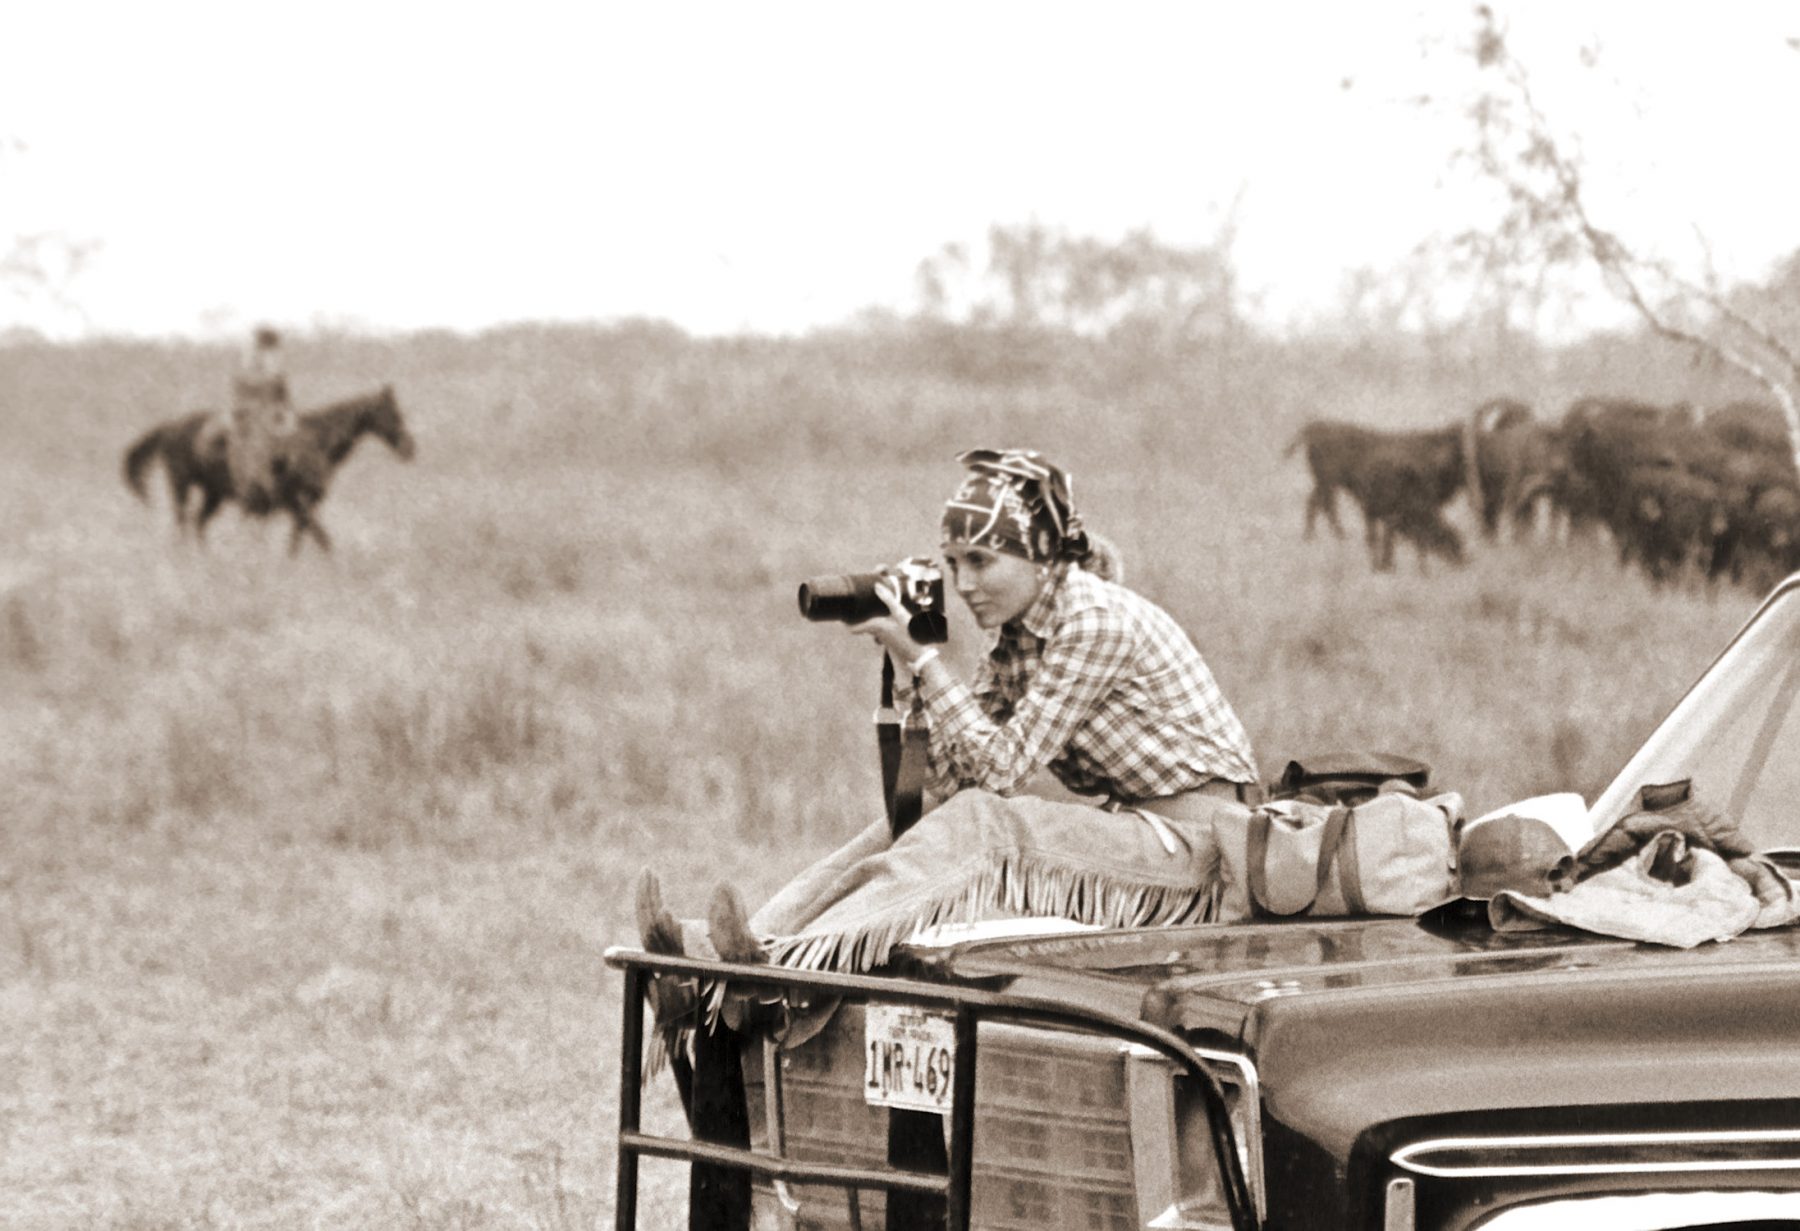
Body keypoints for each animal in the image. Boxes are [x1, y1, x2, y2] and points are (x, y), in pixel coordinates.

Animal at [123, 386, 417, 554]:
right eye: (394, 414)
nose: (409, 448)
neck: (315, 440)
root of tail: (169, 426)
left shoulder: (304, 502)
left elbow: (303, 534)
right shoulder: (292, 500)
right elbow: (318, 535)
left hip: (213, 495)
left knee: (197, 524)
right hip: (181, 486)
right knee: (183, 523)